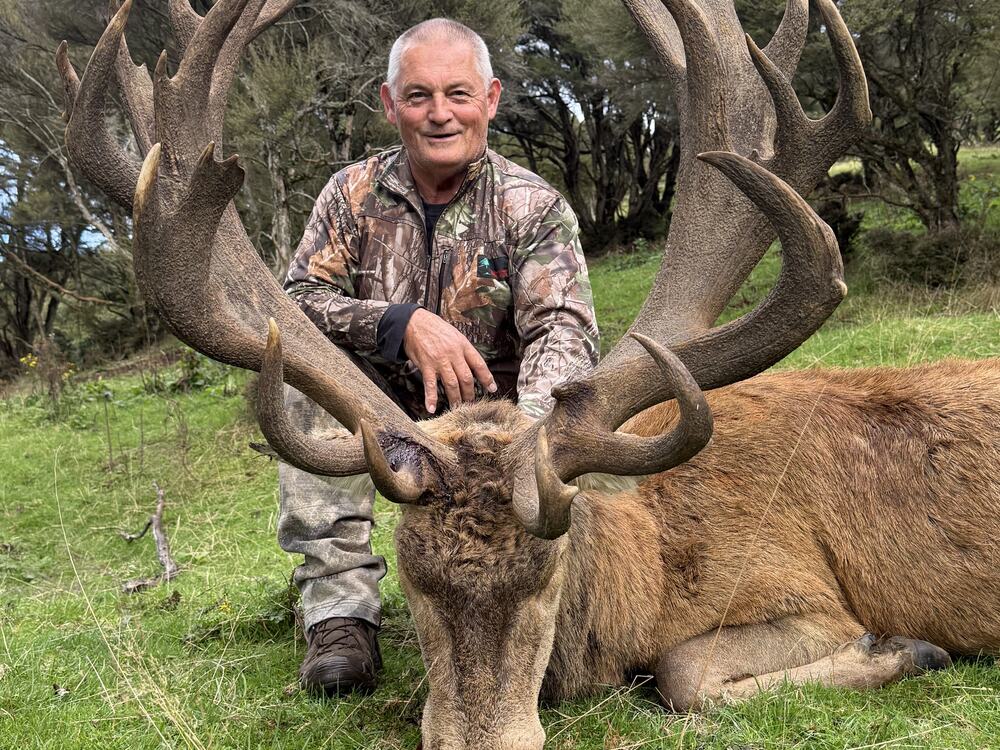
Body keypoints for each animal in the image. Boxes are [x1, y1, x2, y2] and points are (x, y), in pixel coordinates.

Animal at [58, 0, 1000, 748]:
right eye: (412, 581)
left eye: (550, 572)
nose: (482, 741)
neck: (645, 567)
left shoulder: (805, 591)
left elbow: (684, 674)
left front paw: (910, 647)